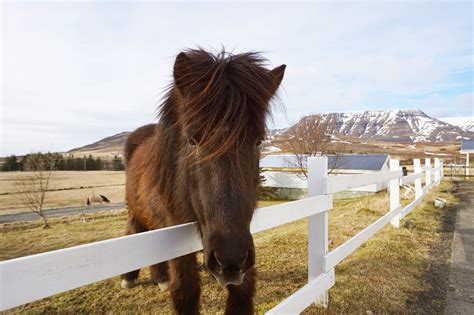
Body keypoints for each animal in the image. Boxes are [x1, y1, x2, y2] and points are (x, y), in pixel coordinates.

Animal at [120, 48, 286, 314]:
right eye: (192, 140)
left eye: (259, 140)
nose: (230, 260)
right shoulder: (176, 231)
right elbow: (186, 291)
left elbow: (243, 290)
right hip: (136, 210)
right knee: (134, 231)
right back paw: (130, 277)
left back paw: (160, 277)